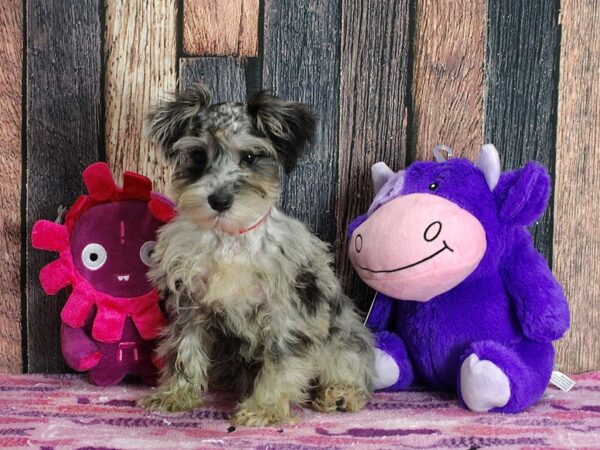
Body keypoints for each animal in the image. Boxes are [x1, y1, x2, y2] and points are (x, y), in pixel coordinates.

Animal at [139, 83, 376, 426]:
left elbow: (280, 360)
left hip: (343, 336)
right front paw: (175, 395)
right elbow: (185, 348)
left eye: (249, 157)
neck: (229, 240)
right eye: (198, 155)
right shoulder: (191, 303)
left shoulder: (285, 311)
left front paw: (265, 407)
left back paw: (340, 394)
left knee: (348, 365)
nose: (219, 200)